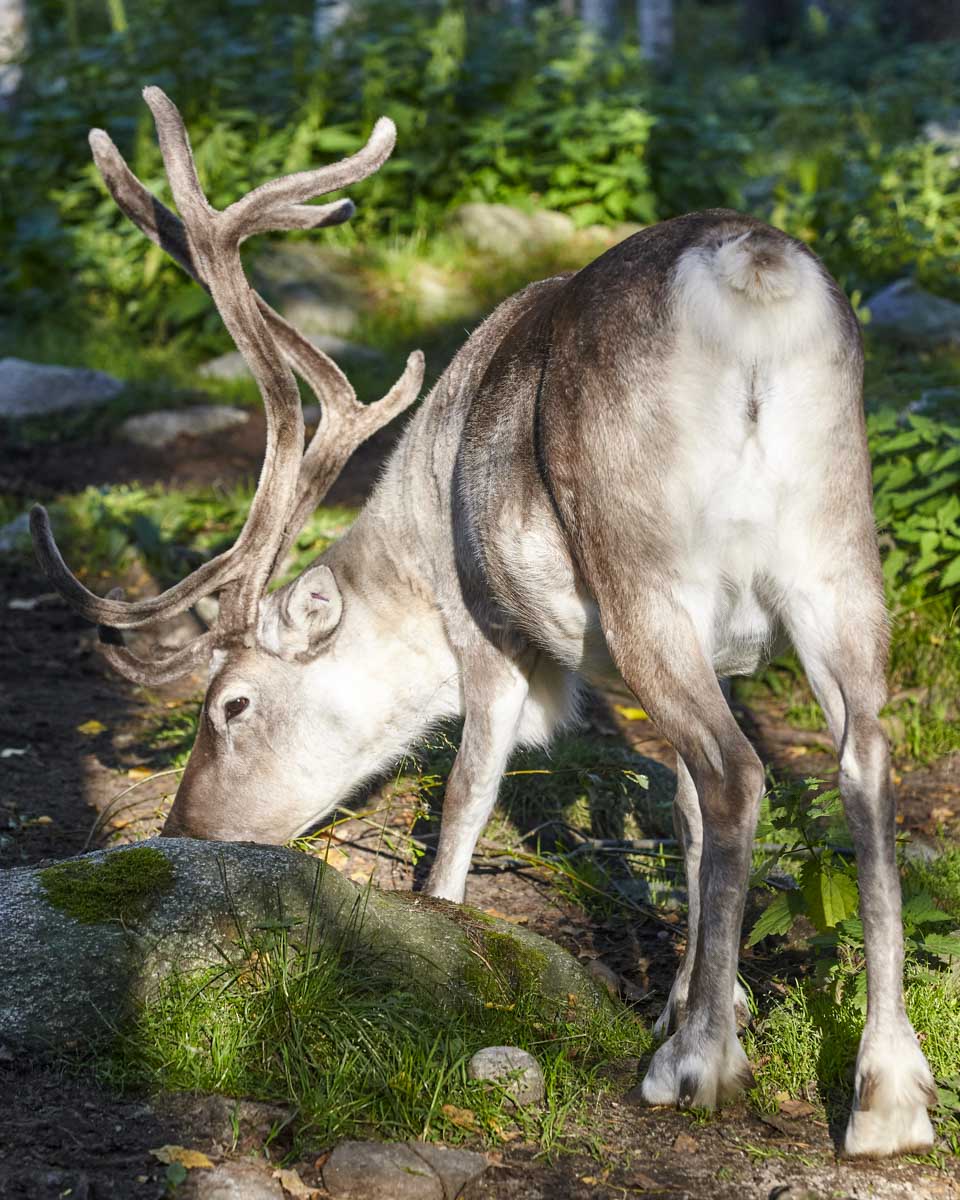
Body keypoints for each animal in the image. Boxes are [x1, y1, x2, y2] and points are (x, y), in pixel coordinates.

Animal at [31, 87, 936, 1158]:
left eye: (232, 705)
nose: (185, 830)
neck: (418, 526)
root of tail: (752, 271)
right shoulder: (713, 651)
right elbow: (675, 814)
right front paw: (688, 997)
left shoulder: (490, 635)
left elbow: (468, 798)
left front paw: (453, 935)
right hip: (840, 556)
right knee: (861, 763)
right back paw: (887, 1094)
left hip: (647, 568)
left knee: (737, 772)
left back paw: (696, 1068)